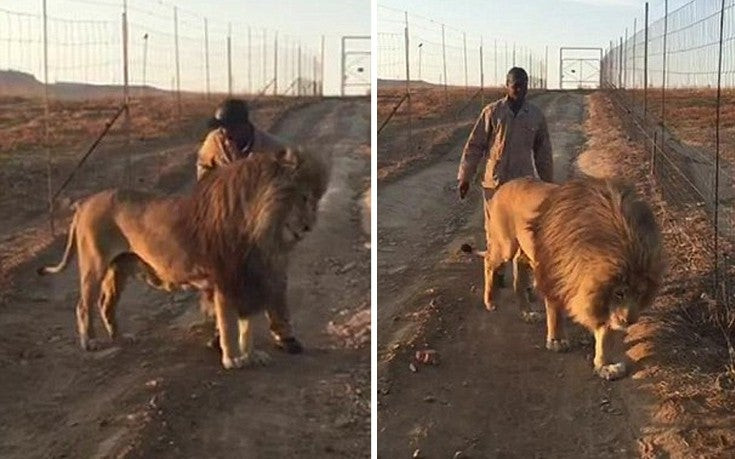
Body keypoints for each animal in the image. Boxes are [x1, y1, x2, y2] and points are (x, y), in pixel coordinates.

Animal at [36, 147, 330, 370]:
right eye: (304, 198)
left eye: (316, 201)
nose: (309, 227)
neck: (263, 228)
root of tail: (84, 203)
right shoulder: (226, 278)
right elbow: (229, 324)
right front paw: (233, 359)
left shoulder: (248, 277)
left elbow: (246, 325)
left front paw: (251, 354)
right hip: (94, 266)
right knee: (83, 305)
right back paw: (90, 342)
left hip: (119, 268)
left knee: (106, 304)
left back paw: (121, 337)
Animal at [466, 176, 668, 380]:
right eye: (619, 293)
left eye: (640, 293)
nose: (629, 321)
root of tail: (506, 185)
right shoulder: (557, 275)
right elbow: (555, 312)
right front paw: (557, 341)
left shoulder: (595, 291)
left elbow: (605, 331)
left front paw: (605, 365)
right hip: (506, 244)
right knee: (490, 262)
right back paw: (490, 301)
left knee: (518, 267)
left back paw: (527, 312)